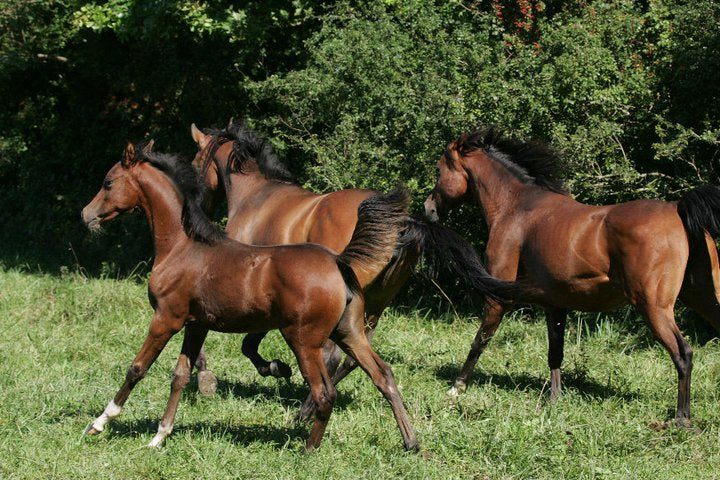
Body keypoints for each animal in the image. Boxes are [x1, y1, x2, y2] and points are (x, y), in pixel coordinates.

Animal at [81, 141, 419, 451]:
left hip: (303, 340)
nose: (86, 215)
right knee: (383, 375)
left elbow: (137, 368)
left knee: (325, 392)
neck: (182, 247)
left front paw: (99, 423)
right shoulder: (197, 325)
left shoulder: (166, 318)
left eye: (108, 182)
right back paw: (411, 443)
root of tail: (338, 262)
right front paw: (159, 436)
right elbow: (180, 376)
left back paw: (308, 449)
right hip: (351, 332)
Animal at [189, 121, 525, 421]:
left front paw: (256, 370)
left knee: (333, 355)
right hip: (372, 305)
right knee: (354, 357)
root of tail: (404, 224)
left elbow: (246, 342)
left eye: (194, 162)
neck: (255, 198)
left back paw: (305, 411)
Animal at [423, 126, 720, 426]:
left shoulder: (499, 297)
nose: (428, 209)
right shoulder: (555, 303)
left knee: (683, 353)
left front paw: (456, 388)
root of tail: (678, 209)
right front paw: (555, 400)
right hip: (704, 298)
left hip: (654, 307)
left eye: (438, 169)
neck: (516, 207)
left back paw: (682, 418)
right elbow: (555, 352)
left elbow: (480, 340)